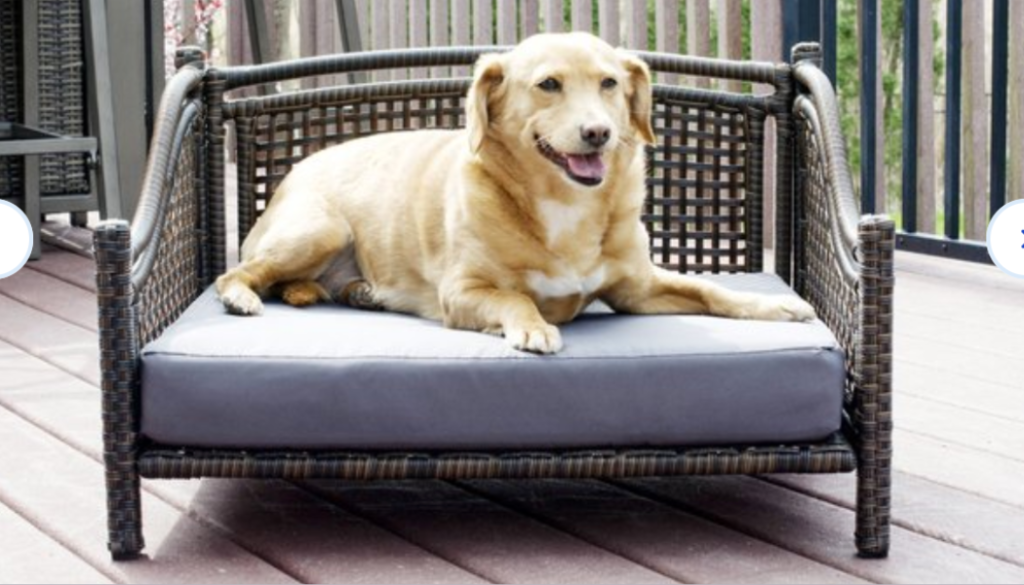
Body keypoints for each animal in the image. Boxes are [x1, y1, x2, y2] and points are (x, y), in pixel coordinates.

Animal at [218, 34, 815, 354]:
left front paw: (775, 305)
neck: (564, 207)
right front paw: (533, 327)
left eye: (610, 84)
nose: (598, 132)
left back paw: (357, 291)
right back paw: (241, 296)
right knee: (240, 273)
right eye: (548, 84)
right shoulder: (462, 292)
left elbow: (712, 290)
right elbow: (514, 297)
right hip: (321, 230)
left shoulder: (638, 289)